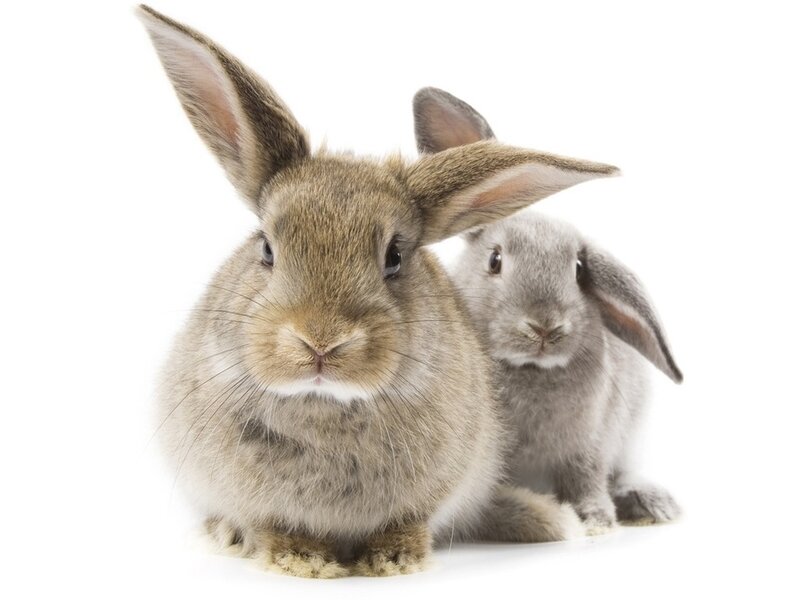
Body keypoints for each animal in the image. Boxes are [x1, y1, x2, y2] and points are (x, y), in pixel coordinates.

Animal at [137, 5, 619, 578]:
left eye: (394, 257)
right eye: (267, 248)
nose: (320, 342)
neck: (325, 405)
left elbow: (406, 522)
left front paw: (393, 559)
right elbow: (276, 525)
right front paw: (302, 561)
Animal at [413, 87, 683, 533]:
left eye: (579, 270)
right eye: (495, 260)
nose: (544, 327)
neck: (530, 371)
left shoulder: (588, 444)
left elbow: (586, 478)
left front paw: (594, 519)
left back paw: (649, 502)